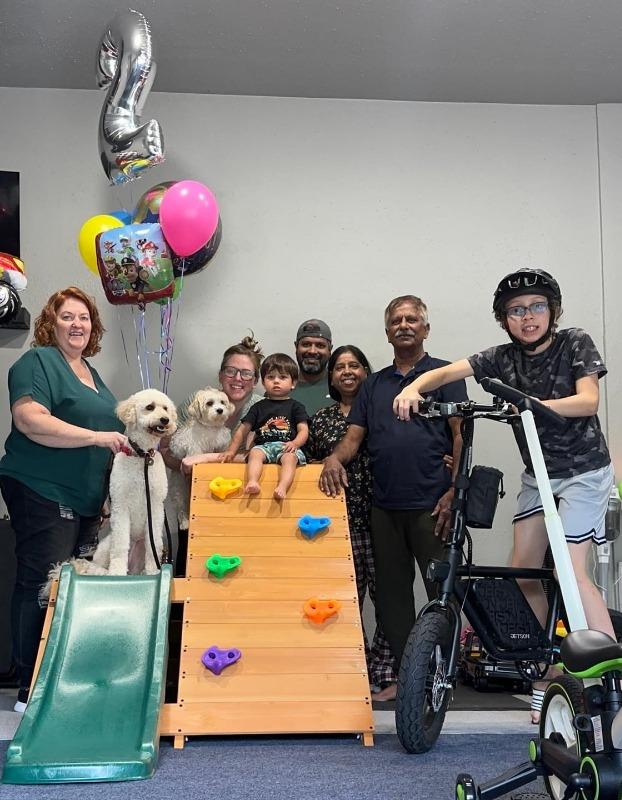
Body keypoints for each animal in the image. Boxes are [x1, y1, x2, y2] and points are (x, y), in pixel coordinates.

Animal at [94, 390, 179, 572]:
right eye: (150, 407)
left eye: (166, 408)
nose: (165, 420)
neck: (143, 456)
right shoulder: (120, 506)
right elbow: (120, 545)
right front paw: (117, 572)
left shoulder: (155, 507)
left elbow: (154, 545)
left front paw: (153, 571)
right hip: (105, 548)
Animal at [167, 390, 235, 532]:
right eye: (209, 403)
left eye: (222, 402)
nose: (220, 410)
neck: (211, 428)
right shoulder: (194, 447)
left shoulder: (221, 445)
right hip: (178, 489)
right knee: (181, 508)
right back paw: (185, 523)